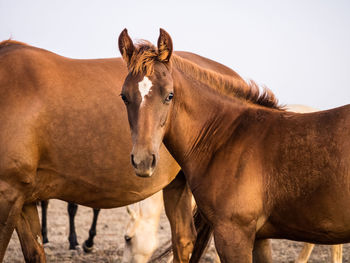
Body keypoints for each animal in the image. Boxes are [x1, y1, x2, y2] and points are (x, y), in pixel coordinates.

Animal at [117, 28, 350, 263]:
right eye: (124, 96)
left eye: (169, 95)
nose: (143, 161)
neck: (227, 137)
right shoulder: (259, 238)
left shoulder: (233, 234)